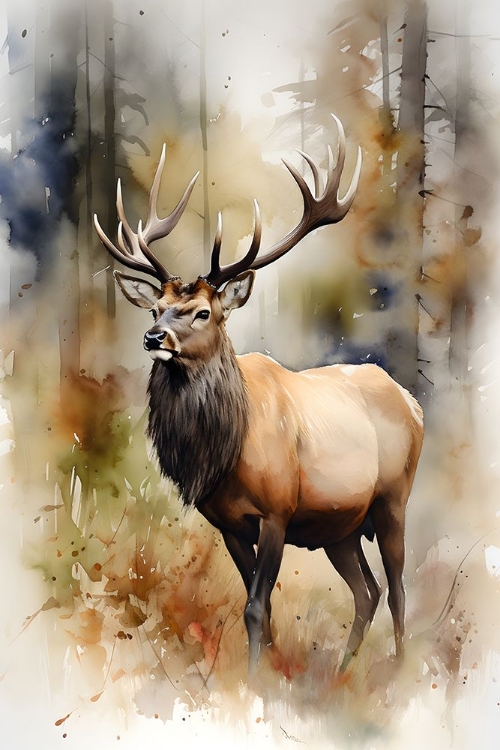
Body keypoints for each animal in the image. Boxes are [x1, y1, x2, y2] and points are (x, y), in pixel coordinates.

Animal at [94, 116, 424, 677]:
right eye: (155, 307)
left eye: (203, 312)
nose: (153, 338)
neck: (225, 453)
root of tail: (413, 401)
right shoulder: (228, 523)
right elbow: (259, 606)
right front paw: (266, 677)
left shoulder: (278, 511)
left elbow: (255, 605)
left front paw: (255, 683)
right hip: (339, 527)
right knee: (368, 592)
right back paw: (340, 674)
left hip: (393, 498)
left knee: (398, 587)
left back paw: (398, 673)